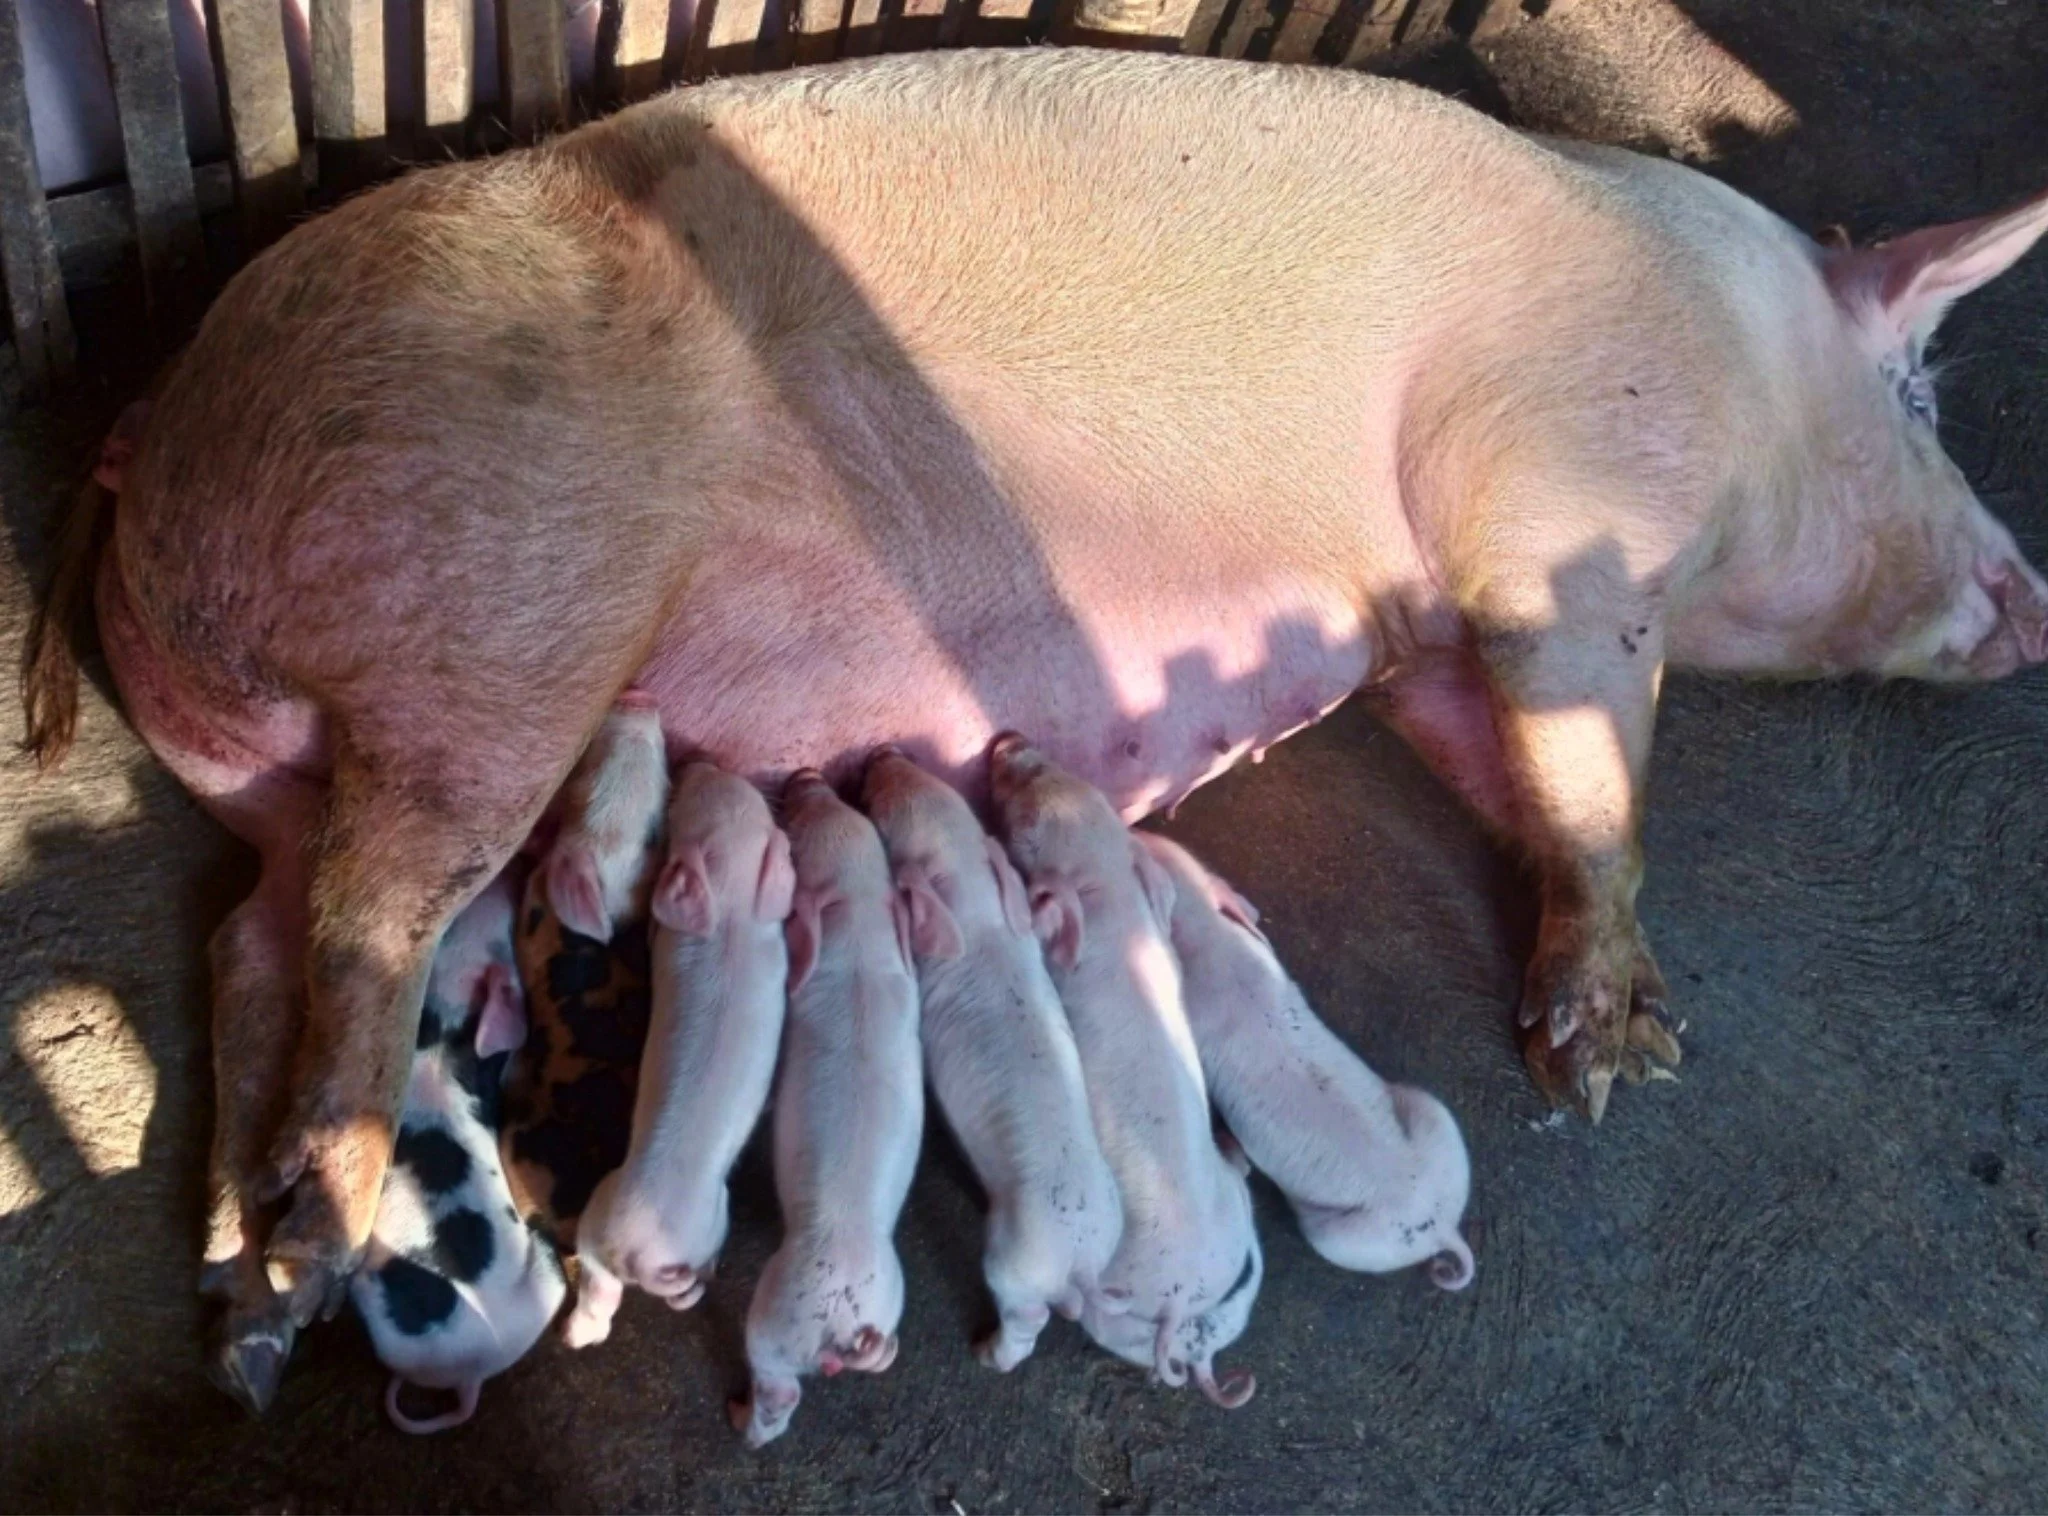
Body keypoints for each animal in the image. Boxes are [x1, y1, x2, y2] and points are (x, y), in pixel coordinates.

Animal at [561, 762, 793, 1348]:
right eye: (694, 799)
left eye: (738, 795)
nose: (700, 762)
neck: (729, 909)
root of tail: (639, 1254)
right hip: (707, 1219)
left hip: (596, 1221)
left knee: (598, 1292)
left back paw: (575, 1335)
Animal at [732, 770, 924, 1448]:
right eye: (845, 810)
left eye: (803, 836)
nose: (807, 775)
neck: (859, 916)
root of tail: (848, 1326)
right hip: (890, 1299)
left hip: (774, 1318)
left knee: (776, 1393)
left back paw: (740, 1420)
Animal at [861, 745, 1122, 1371]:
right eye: (940, 789)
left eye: (888, 818)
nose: (883, 752)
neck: (974, 908)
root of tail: (1079, 1260)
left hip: (1011, 1264)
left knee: (1026, 1320)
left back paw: (984, 1352)